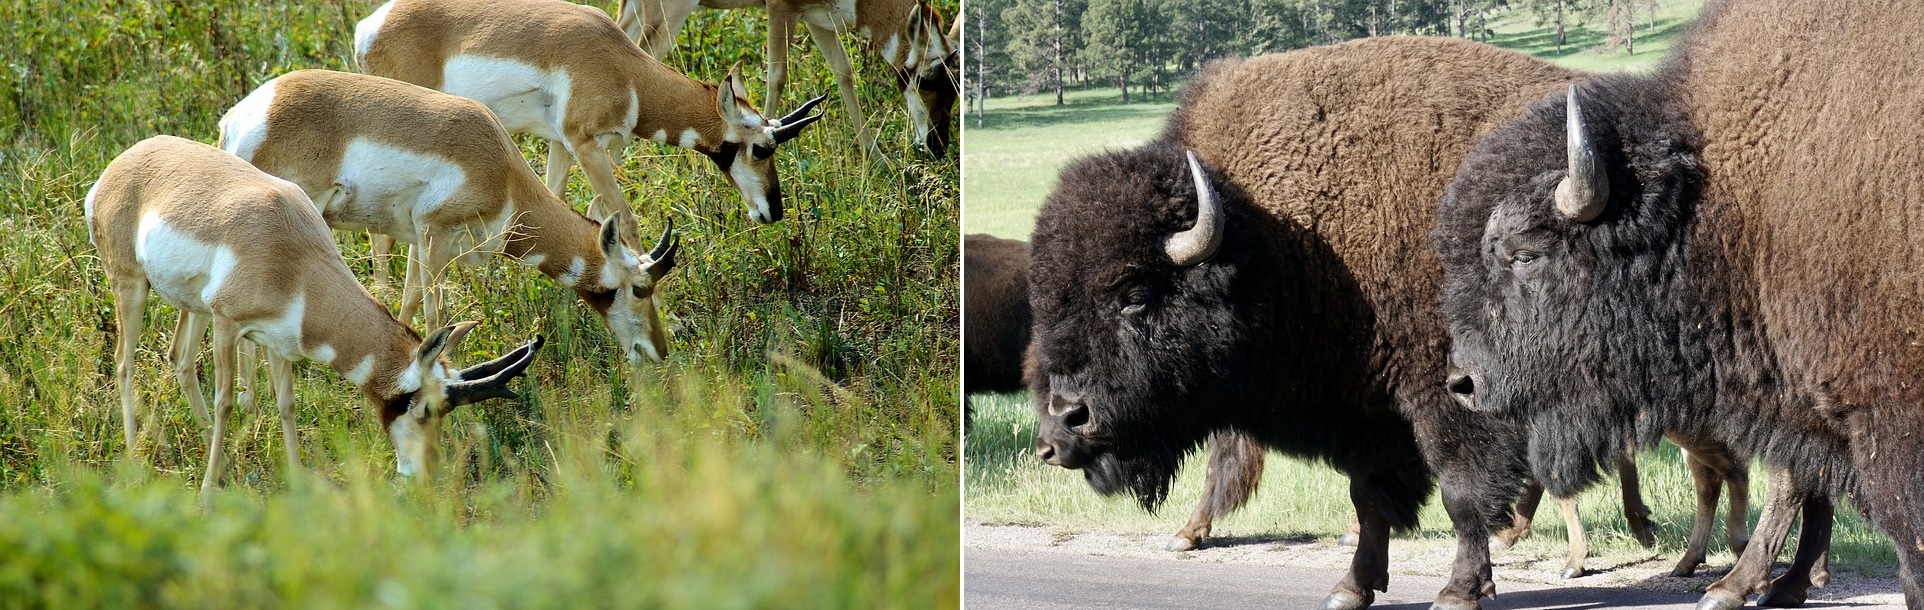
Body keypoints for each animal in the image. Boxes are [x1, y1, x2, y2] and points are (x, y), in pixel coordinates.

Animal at [87, 133, 542, 492]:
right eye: (426, 408)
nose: (425, 475)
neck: (291, 252)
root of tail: (120, 165)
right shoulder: (229, 325)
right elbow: (226, 402)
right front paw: (207, 493)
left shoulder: (276, 342)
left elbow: (286, 403)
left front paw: (297, 481)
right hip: (132, 285)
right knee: (124, 363)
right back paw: (135, 456)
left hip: (191, 306)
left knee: (179, 358)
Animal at [220, 71, 684, 365]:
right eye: (640, 288)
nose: (659, 351)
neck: (502, 169)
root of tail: (242, 115)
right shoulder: (436, 234)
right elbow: (435, 315)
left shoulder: (415, 239)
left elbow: (407, 302)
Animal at [357, 0, 823, 226]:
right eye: (761, 148)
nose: (774, 212)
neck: (624, 68)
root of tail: (371, 25)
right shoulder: (586, 147)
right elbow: (626, 217)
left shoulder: (567, 146)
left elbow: (561, 205)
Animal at [619, 0, 958, 155]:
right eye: (926, 80)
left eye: (953, 90)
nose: (938, 147)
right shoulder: (780, 10)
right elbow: (777, 76)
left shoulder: (818, 19)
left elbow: (844, 72)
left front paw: (876, 158)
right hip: (668, 13)